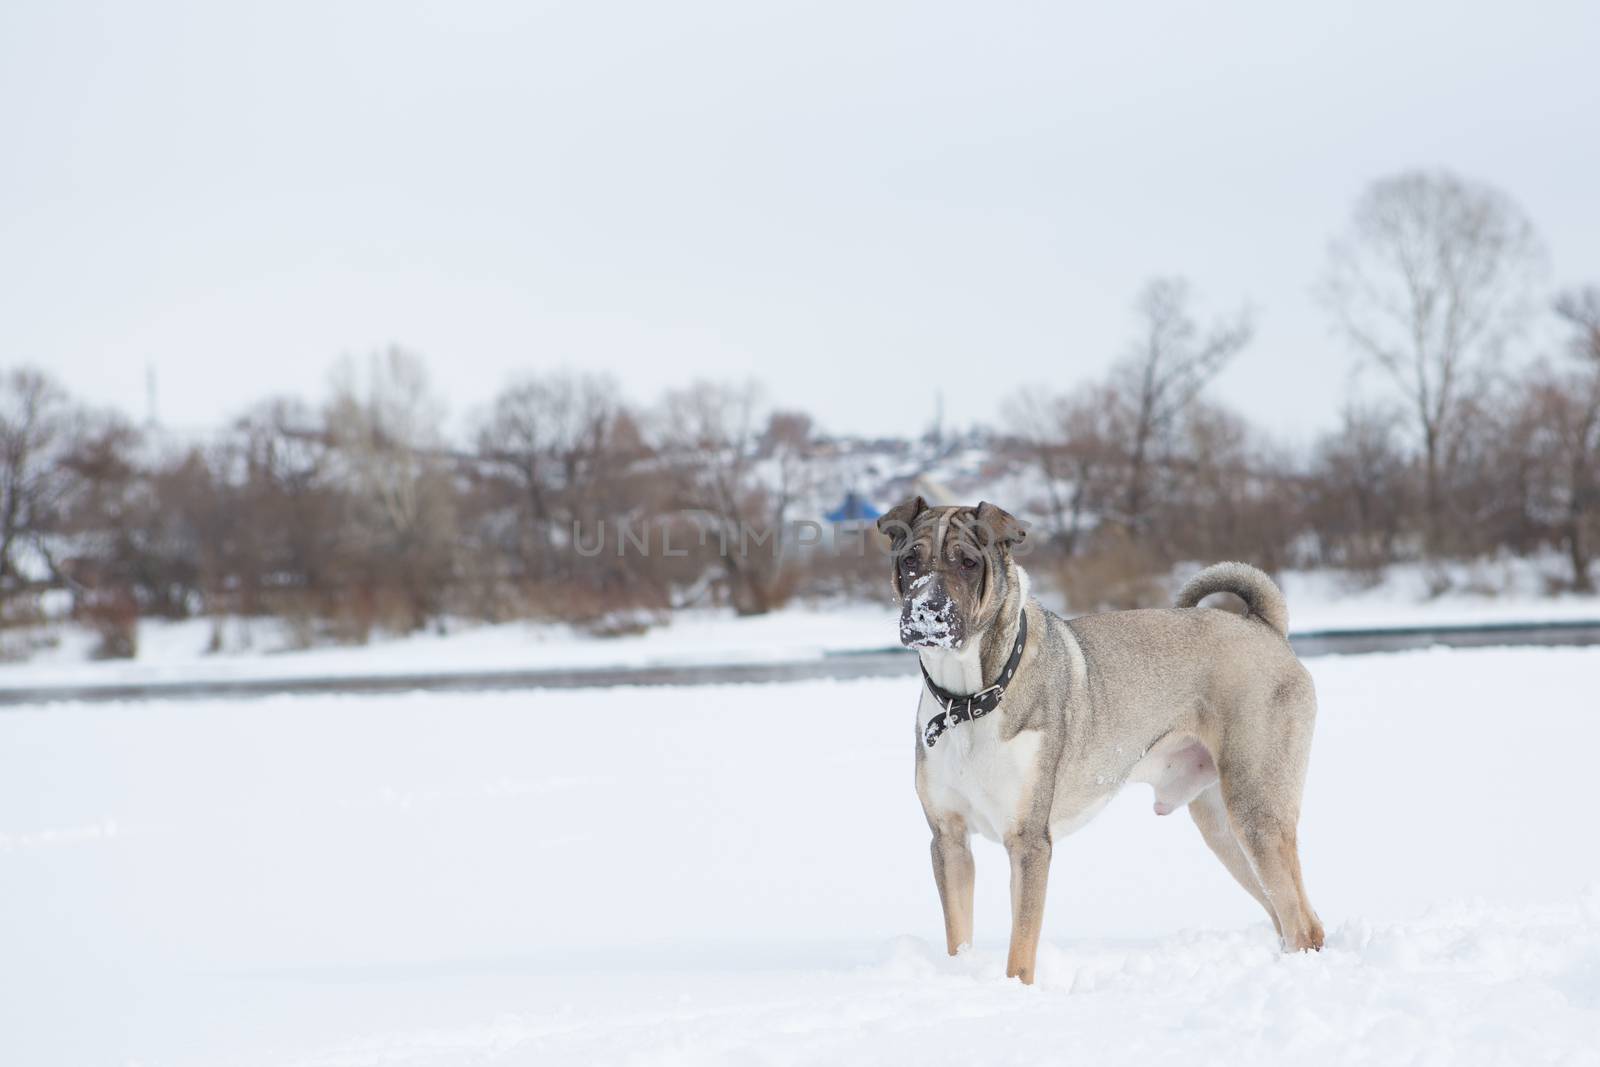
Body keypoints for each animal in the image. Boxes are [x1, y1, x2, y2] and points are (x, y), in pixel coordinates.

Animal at [883, 499, 1318, 985]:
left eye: (969, 562)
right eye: (910, 559)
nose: (927, 612)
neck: (968, 700)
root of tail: (1265, 627)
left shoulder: (1029, 841)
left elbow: (1021, 951)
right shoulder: (949, 839)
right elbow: (958, 936)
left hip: (1256, 810)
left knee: (1301, 923)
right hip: (1223, 827)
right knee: (1289, 916)